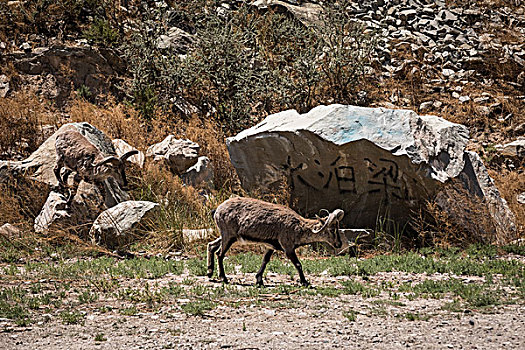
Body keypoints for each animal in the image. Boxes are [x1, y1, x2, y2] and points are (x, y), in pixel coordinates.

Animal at [207, 197, 346, 288]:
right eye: (332, 229)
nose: (339, 244)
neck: (298, 228)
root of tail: (217, 210)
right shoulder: (288, 247)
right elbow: (298, 264)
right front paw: (305, 282)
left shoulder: (271, 246)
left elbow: (265, 260)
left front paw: (259, 280)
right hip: (229, 236)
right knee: (220, 253)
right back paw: (223, 278)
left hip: (227, 236)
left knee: (211, 246)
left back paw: (209, 272)